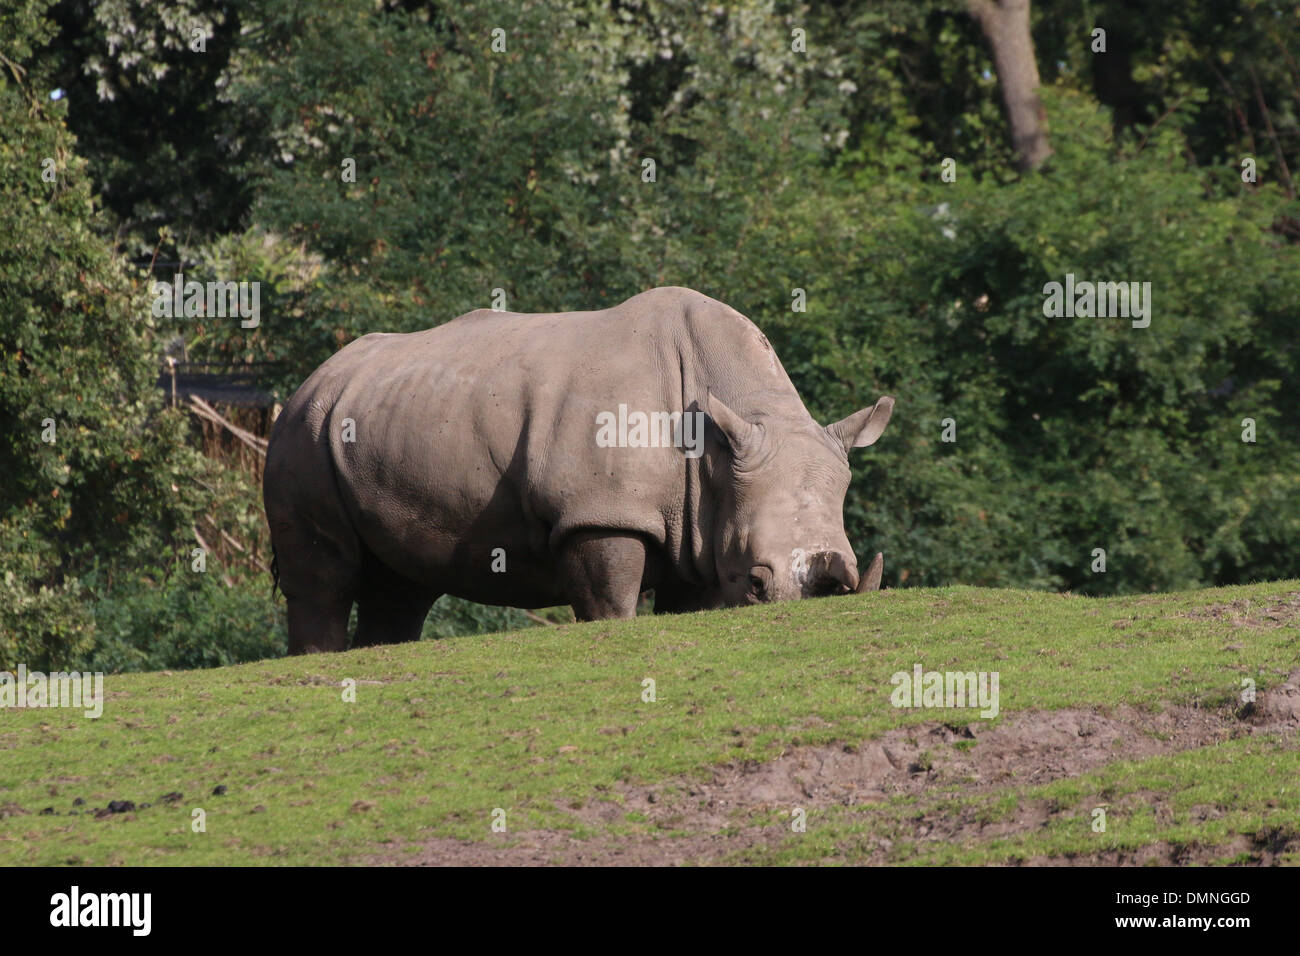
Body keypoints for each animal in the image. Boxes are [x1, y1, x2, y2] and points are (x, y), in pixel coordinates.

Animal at [263, 287, 893, 653]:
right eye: (757, 581)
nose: (820, 603)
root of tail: (311, 379)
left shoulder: (701, 528)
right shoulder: (600, 511)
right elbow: (609, 600)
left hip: (377, 420)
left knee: (402, 584)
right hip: (302, 431)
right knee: (325, 573)